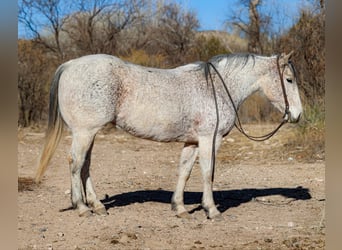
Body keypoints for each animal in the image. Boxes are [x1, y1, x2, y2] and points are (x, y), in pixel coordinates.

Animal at [34, 51, 302, 219]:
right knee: (76, 163)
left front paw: (180, 208)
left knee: (85, 166)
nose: (297, 115)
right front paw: (211, 210)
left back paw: (97, 205)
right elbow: (208, 173)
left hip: (89, 133)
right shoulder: (210, 139)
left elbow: (185, 171)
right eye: (288, 80)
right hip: (84, 132)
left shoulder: (192, 142)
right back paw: (81, 207)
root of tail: (70, 65)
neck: (216, 87)